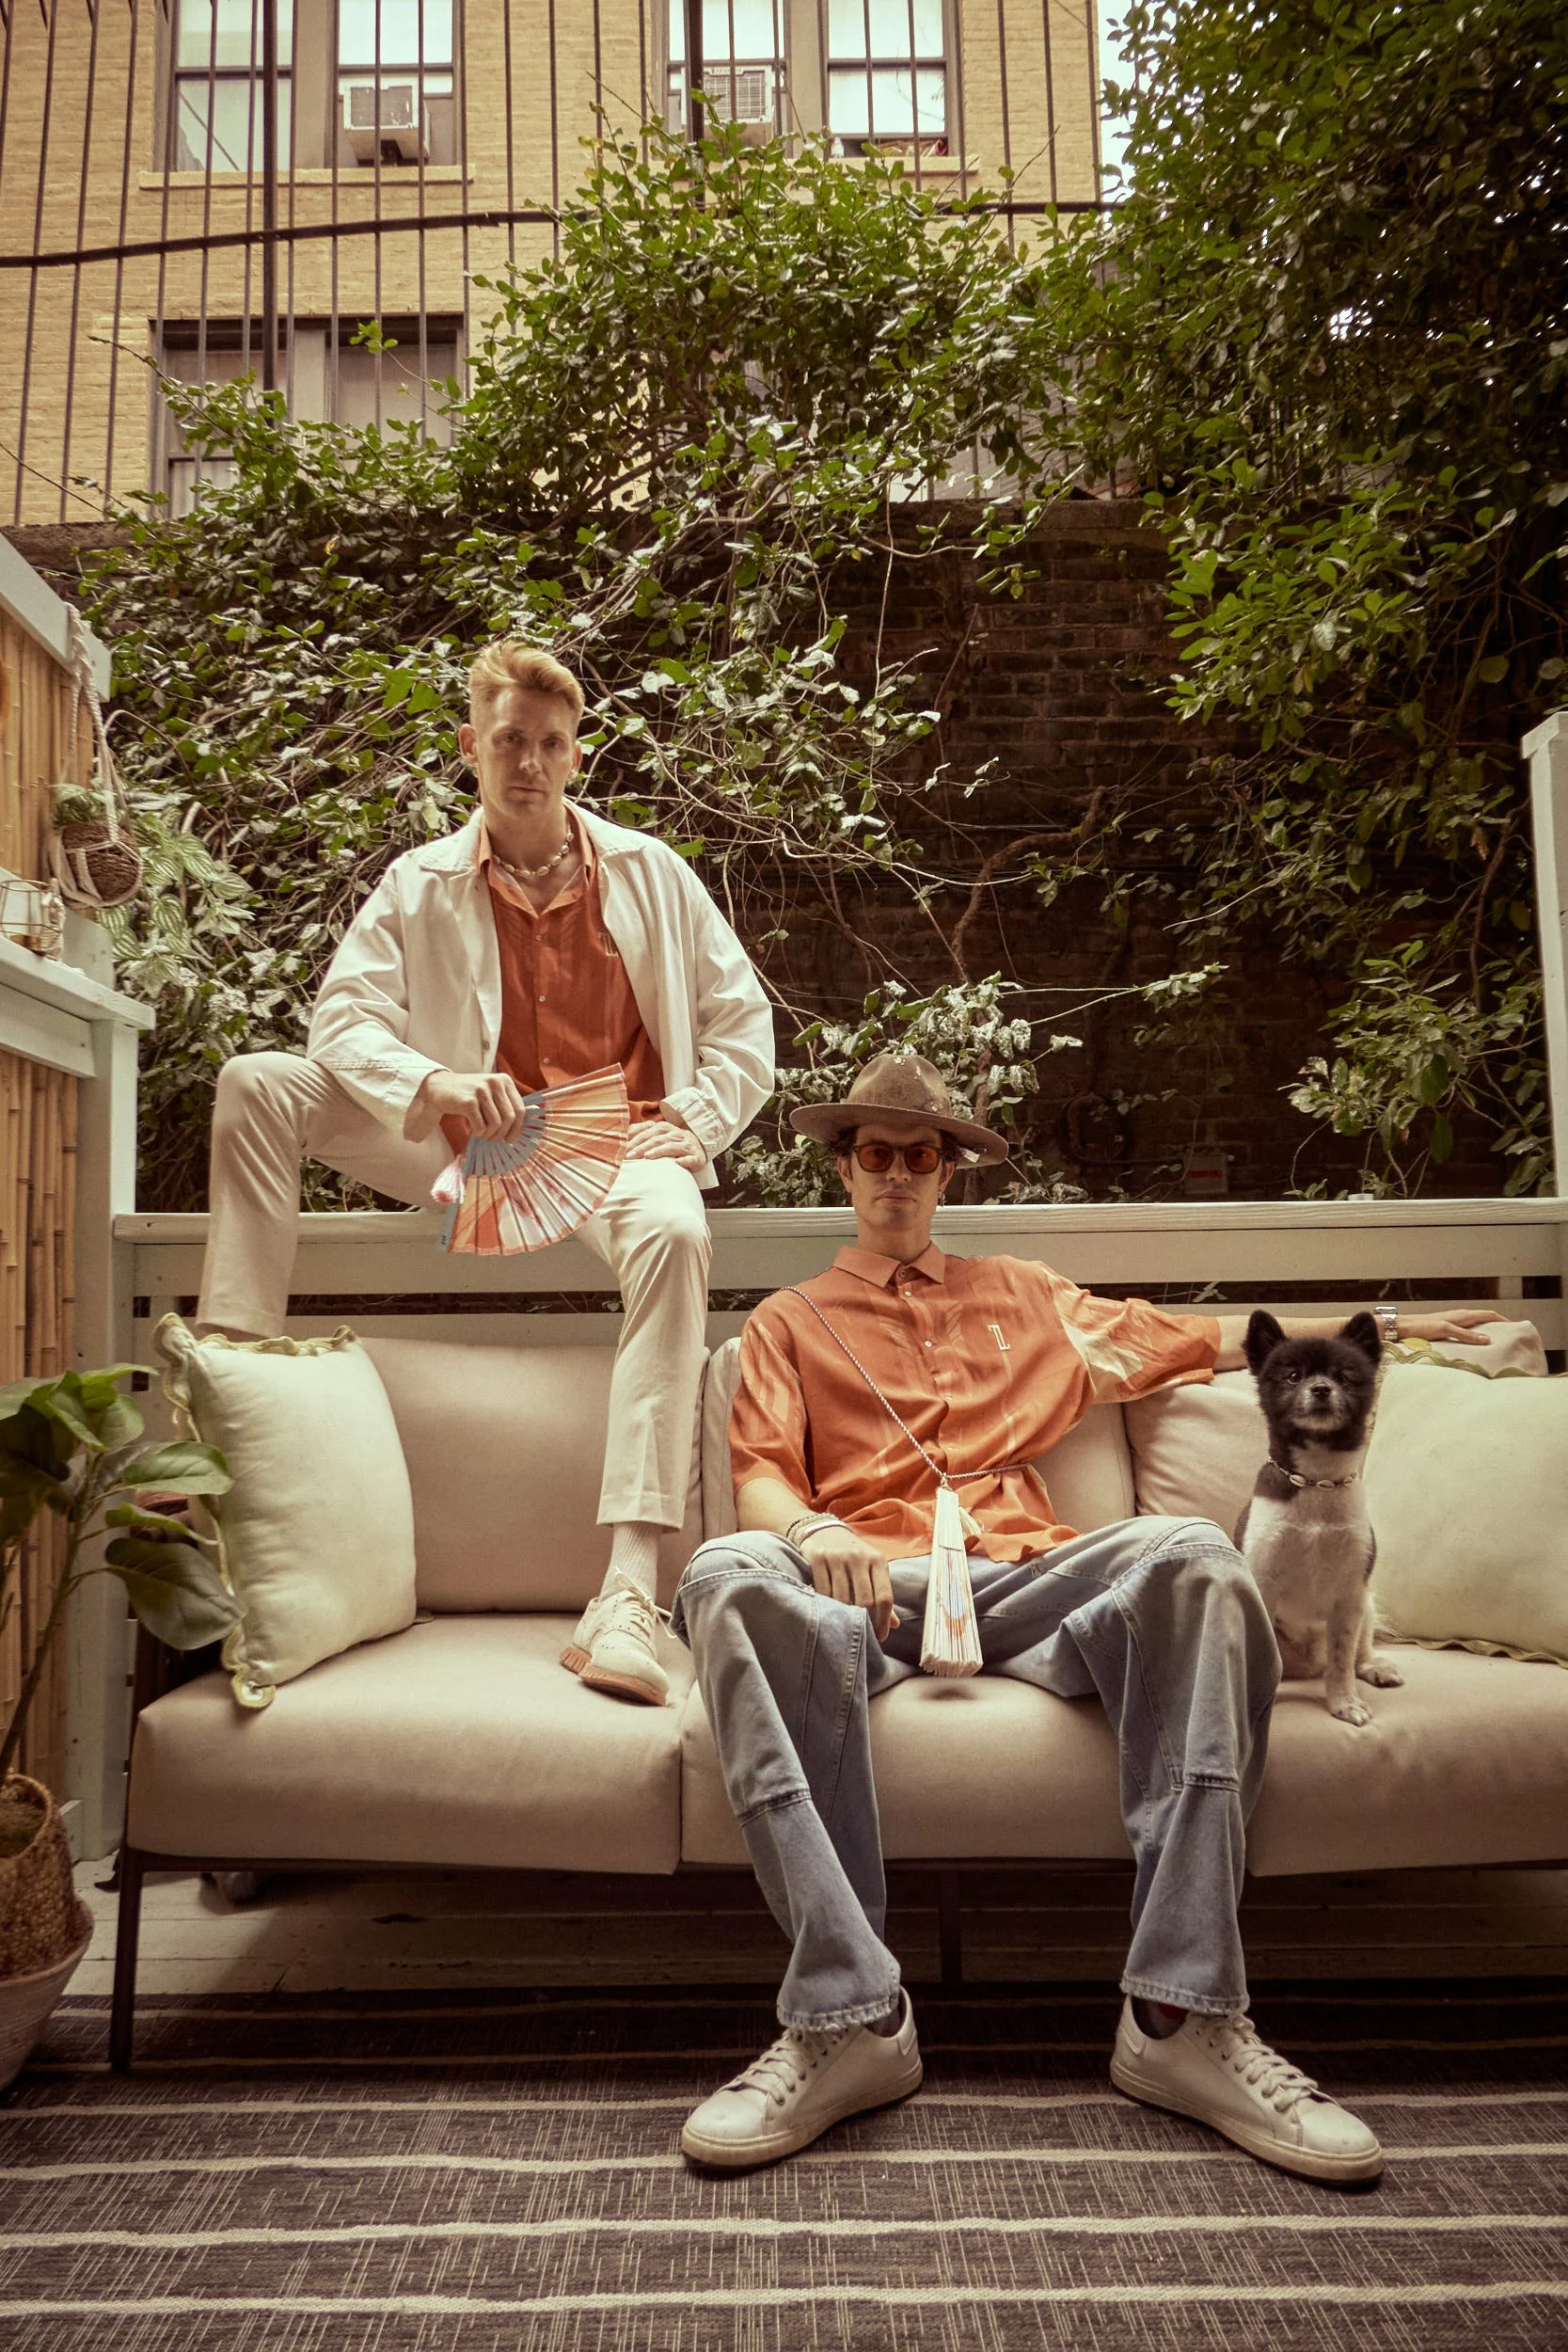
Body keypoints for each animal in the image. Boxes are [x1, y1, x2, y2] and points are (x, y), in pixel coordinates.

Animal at [1234, 1309, 1403, 1726]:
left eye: (1344, 1375)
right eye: (1293, 1376)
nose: (1322, 1389)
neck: (1317, 1481)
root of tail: (1311, 1664)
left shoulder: (1350, 1594)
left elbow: (1342, 1661)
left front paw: (1344, 1702)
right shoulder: (1263, 1581)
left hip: (1366, 1606)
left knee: (1356, 1654)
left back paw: (1375, 1667)